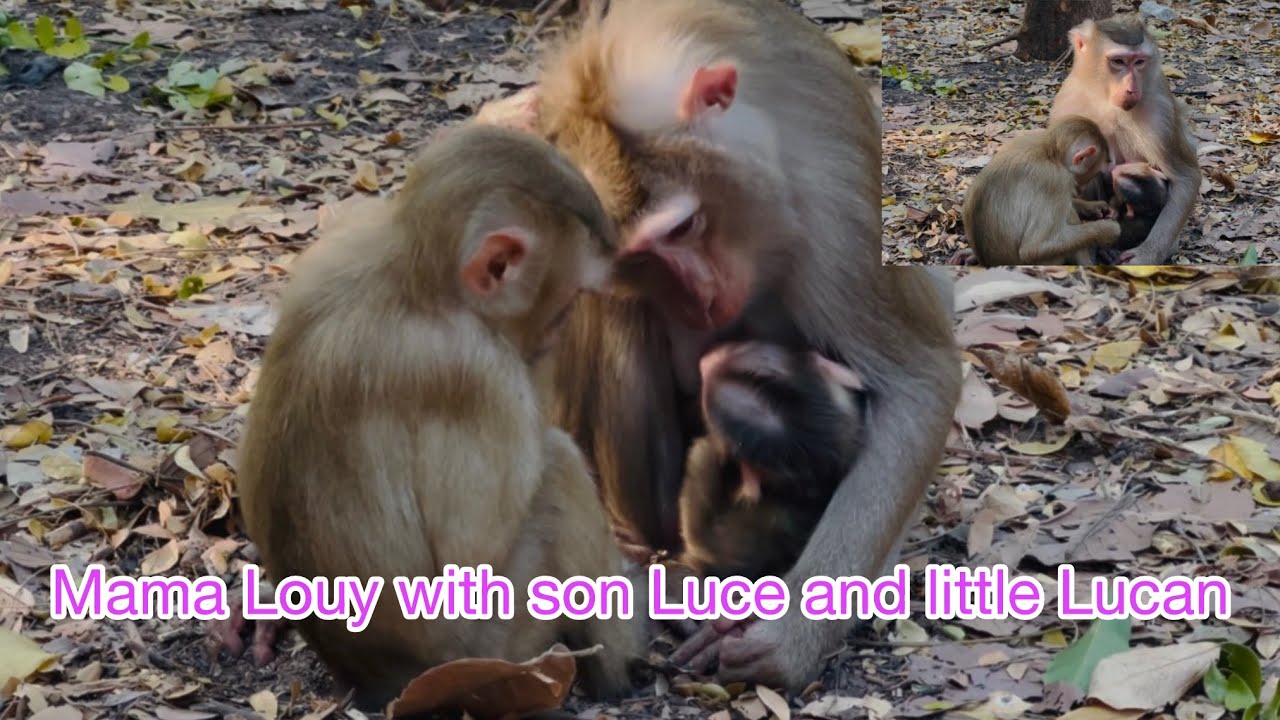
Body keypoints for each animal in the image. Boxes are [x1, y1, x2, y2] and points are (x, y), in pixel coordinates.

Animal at [232, 124, 649, 711]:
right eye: (568, 303)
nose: (555, 335)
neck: (414, 278)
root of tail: (379, 681)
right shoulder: (482, 374)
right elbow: (471, 557)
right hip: (487, 654)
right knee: (559, 470)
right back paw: (618, 670)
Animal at [475, 0, 963, 691]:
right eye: (639, 255)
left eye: (683, 226)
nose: (701, 296)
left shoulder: (834, 205)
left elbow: (920, 378)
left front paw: (788, 637)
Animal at [962, 115, 1122, 266]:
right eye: (1093, 174)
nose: (1081, 187)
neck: (1049, 153)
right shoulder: (1057, 180)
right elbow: (1033, 248)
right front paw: (1108, 230)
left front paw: (1096, 207)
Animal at [1049, 15, 1200, 265]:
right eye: (1118, 61)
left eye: (1139, 62)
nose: (1131, 89)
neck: (1104, 98)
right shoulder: (1067, 101)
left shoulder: (1160, 110)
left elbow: (1186, 177)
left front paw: (1147, 256)